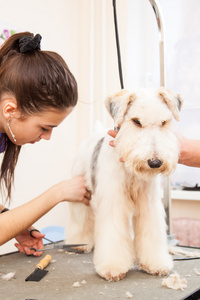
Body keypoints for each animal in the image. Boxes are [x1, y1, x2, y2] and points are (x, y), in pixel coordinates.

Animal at [65, 86, 183, 282]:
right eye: (136, 121)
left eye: (164, 122)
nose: (155, 162)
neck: (131, 171)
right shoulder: (114, 201)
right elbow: (113, 233)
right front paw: (112, 268)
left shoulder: (148, 204)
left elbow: (150, 233)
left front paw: (155, 264)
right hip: (80, 195)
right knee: (80, 221)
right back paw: (79, 244)